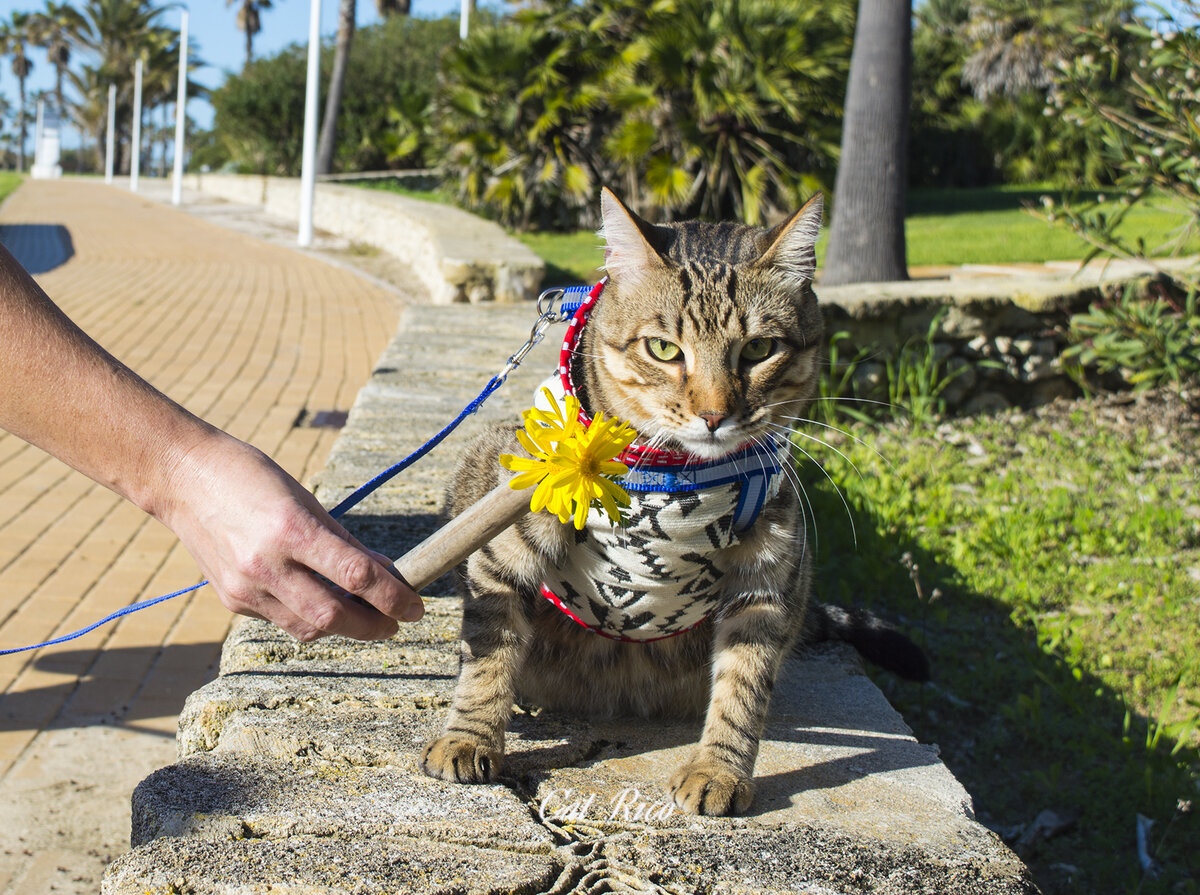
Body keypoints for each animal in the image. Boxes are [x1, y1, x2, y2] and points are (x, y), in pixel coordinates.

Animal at [417, 188, 921, 815]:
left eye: (759, 349)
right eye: (663, 349)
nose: (714, 414)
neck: (678, 480)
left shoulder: (769, 577)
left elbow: (743, 688)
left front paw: (718, 769)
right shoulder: (502, 547)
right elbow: (488, 653)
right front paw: (469, 737)